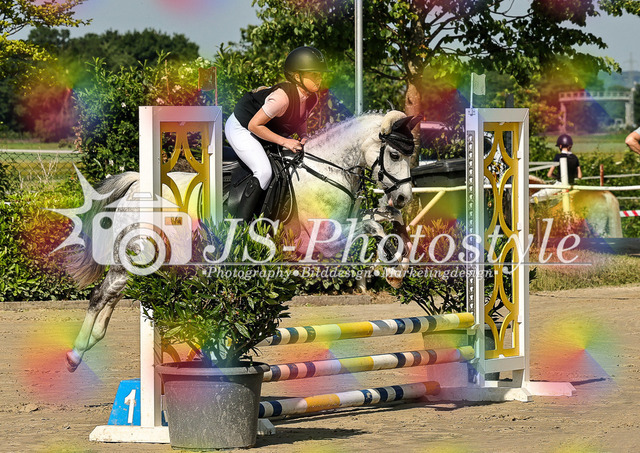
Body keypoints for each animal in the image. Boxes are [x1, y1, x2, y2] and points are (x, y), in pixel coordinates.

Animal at [62, 110, 419, 372]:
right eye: (395, 154)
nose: (403, 197)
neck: (326, 172)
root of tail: (137, 183)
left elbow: (381, 220)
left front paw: (399, 263)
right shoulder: (322, 239)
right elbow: (370, 226)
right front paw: (393, 270)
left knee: (113, 295)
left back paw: (88, 344)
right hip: (138, 256)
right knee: (102, 294)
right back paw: (76, 353)